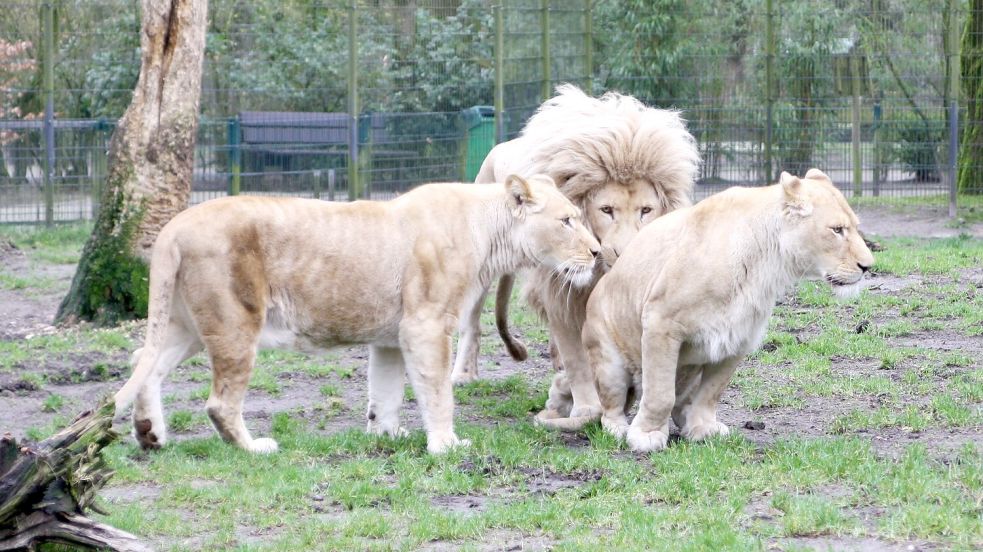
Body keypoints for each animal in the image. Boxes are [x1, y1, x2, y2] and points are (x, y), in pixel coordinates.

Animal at [110, 175, 596, 454]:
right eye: (567, 220)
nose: (596, 252)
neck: (491, 233)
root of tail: (174, 226)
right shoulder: (426, 325)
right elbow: (439, 392)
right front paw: (446, 445)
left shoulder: (392, 337)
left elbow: (385, 393)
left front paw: (387, 435)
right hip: (235, 322)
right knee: (218, 403)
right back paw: (253, 448)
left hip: (186, 324)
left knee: (142, 361)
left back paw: (150, 434)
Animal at [450, 85, 704, 432]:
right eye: (606, 210)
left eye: (646, 210)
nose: (626, 252)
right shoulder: (559, 293)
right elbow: (577, 359)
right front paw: (584, 405)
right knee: (473, 320)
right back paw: (464, 374)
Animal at [584, 169, 876, 452]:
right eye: (837, 230)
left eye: (855, 227)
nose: (868, 266)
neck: (768, 263)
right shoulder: (660, 324)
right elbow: (659, 394)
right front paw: (646, 435)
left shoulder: (738, 336)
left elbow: (712, 392)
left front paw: (703, 429)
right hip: (610, 363)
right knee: (612, 407)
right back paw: (619, 429)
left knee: (681, 401)